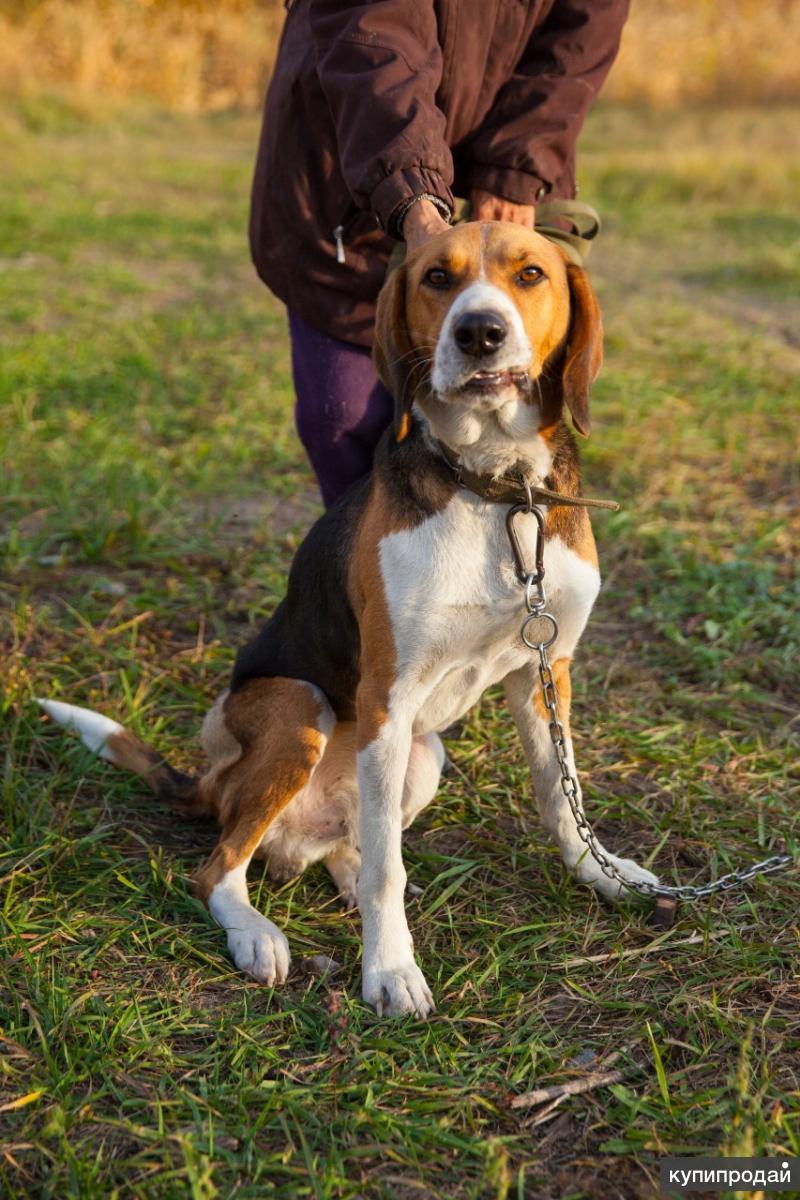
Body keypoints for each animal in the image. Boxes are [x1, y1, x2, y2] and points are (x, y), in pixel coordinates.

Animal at [40, 223, 662, 1012]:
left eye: (530, 274)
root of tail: (212, 783)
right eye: (436, 277)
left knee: (348, 847)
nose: (480, 333)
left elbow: (561, 791)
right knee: (222, 868)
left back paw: (341, 878)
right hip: (301, 712)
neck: (496, 489)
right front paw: (391, 970)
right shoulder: (386, 697)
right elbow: (388, 871)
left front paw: (600, 871)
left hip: (422, 755)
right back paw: (257, 935)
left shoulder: (544, 668)